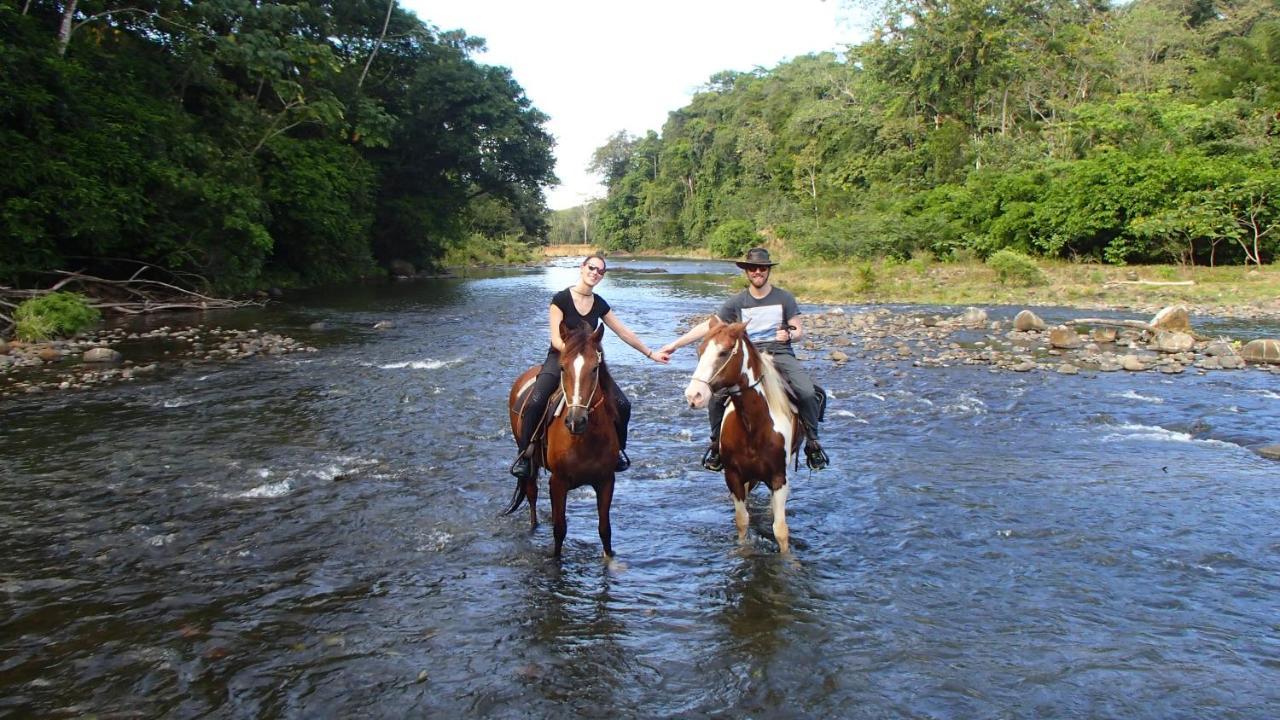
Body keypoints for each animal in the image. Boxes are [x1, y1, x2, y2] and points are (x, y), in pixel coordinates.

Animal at [504, 320, 619, 556]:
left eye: (595, 368)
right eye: (563, 367)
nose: (576, 421)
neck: (584, 440)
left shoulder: (606, 480)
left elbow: (605, 530)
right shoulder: (558, 482)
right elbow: (559, 530)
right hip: (529, 461)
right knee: (531, 493)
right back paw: (533, 527)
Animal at [686, 313, 793, 548]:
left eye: (724, 352)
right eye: (700, 350)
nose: (693, 396)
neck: (753, 426)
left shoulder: (779, 477)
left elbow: (780, 530)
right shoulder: (733, 476)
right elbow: (742, 521)